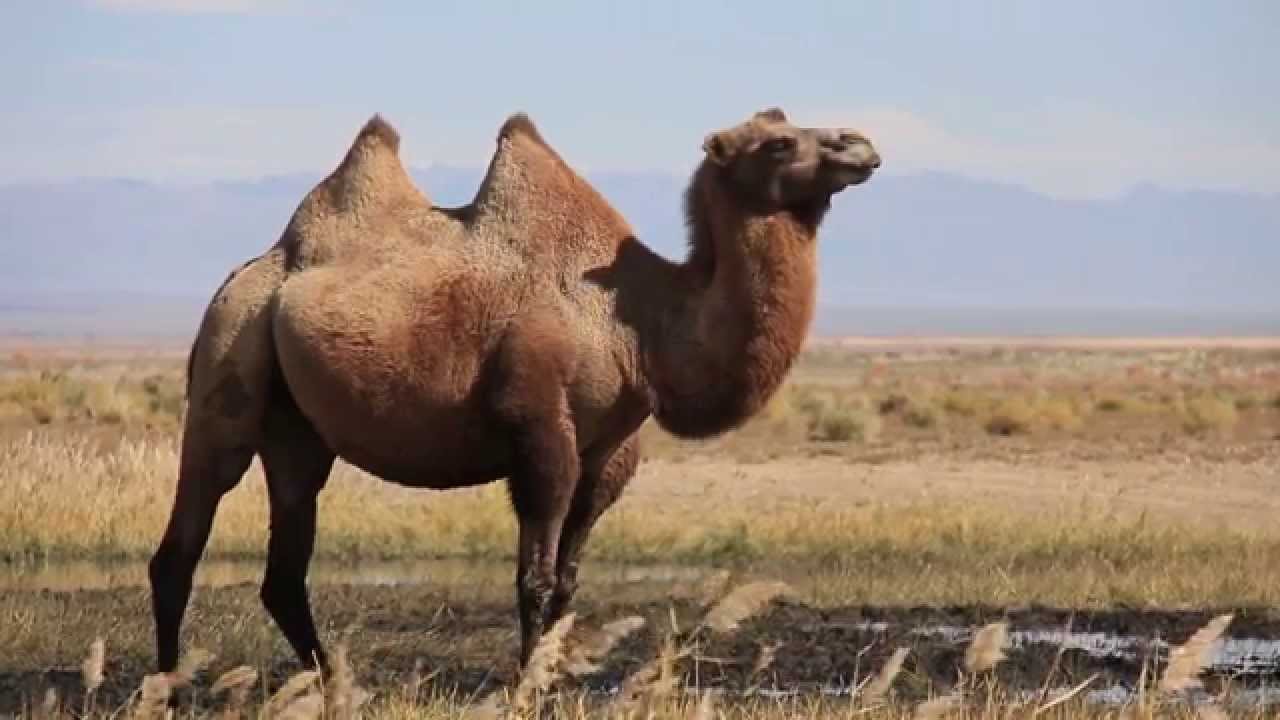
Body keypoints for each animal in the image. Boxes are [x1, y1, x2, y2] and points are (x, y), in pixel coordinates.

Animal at [148, 107, 880, 674]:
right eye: (777, 143)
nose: (860, 145)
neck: (636, 323)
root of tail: (252, 272)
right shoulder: (541, 429)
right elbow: (534, 577)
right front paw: (527, 682)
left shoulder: (609, 453)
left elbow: (568, 582)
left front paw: (552, 672)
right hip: (229, 355)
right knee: (184, 540)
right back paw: (171, 684)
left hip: (297, 430)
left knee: (285, 563)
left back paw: (331, 681)